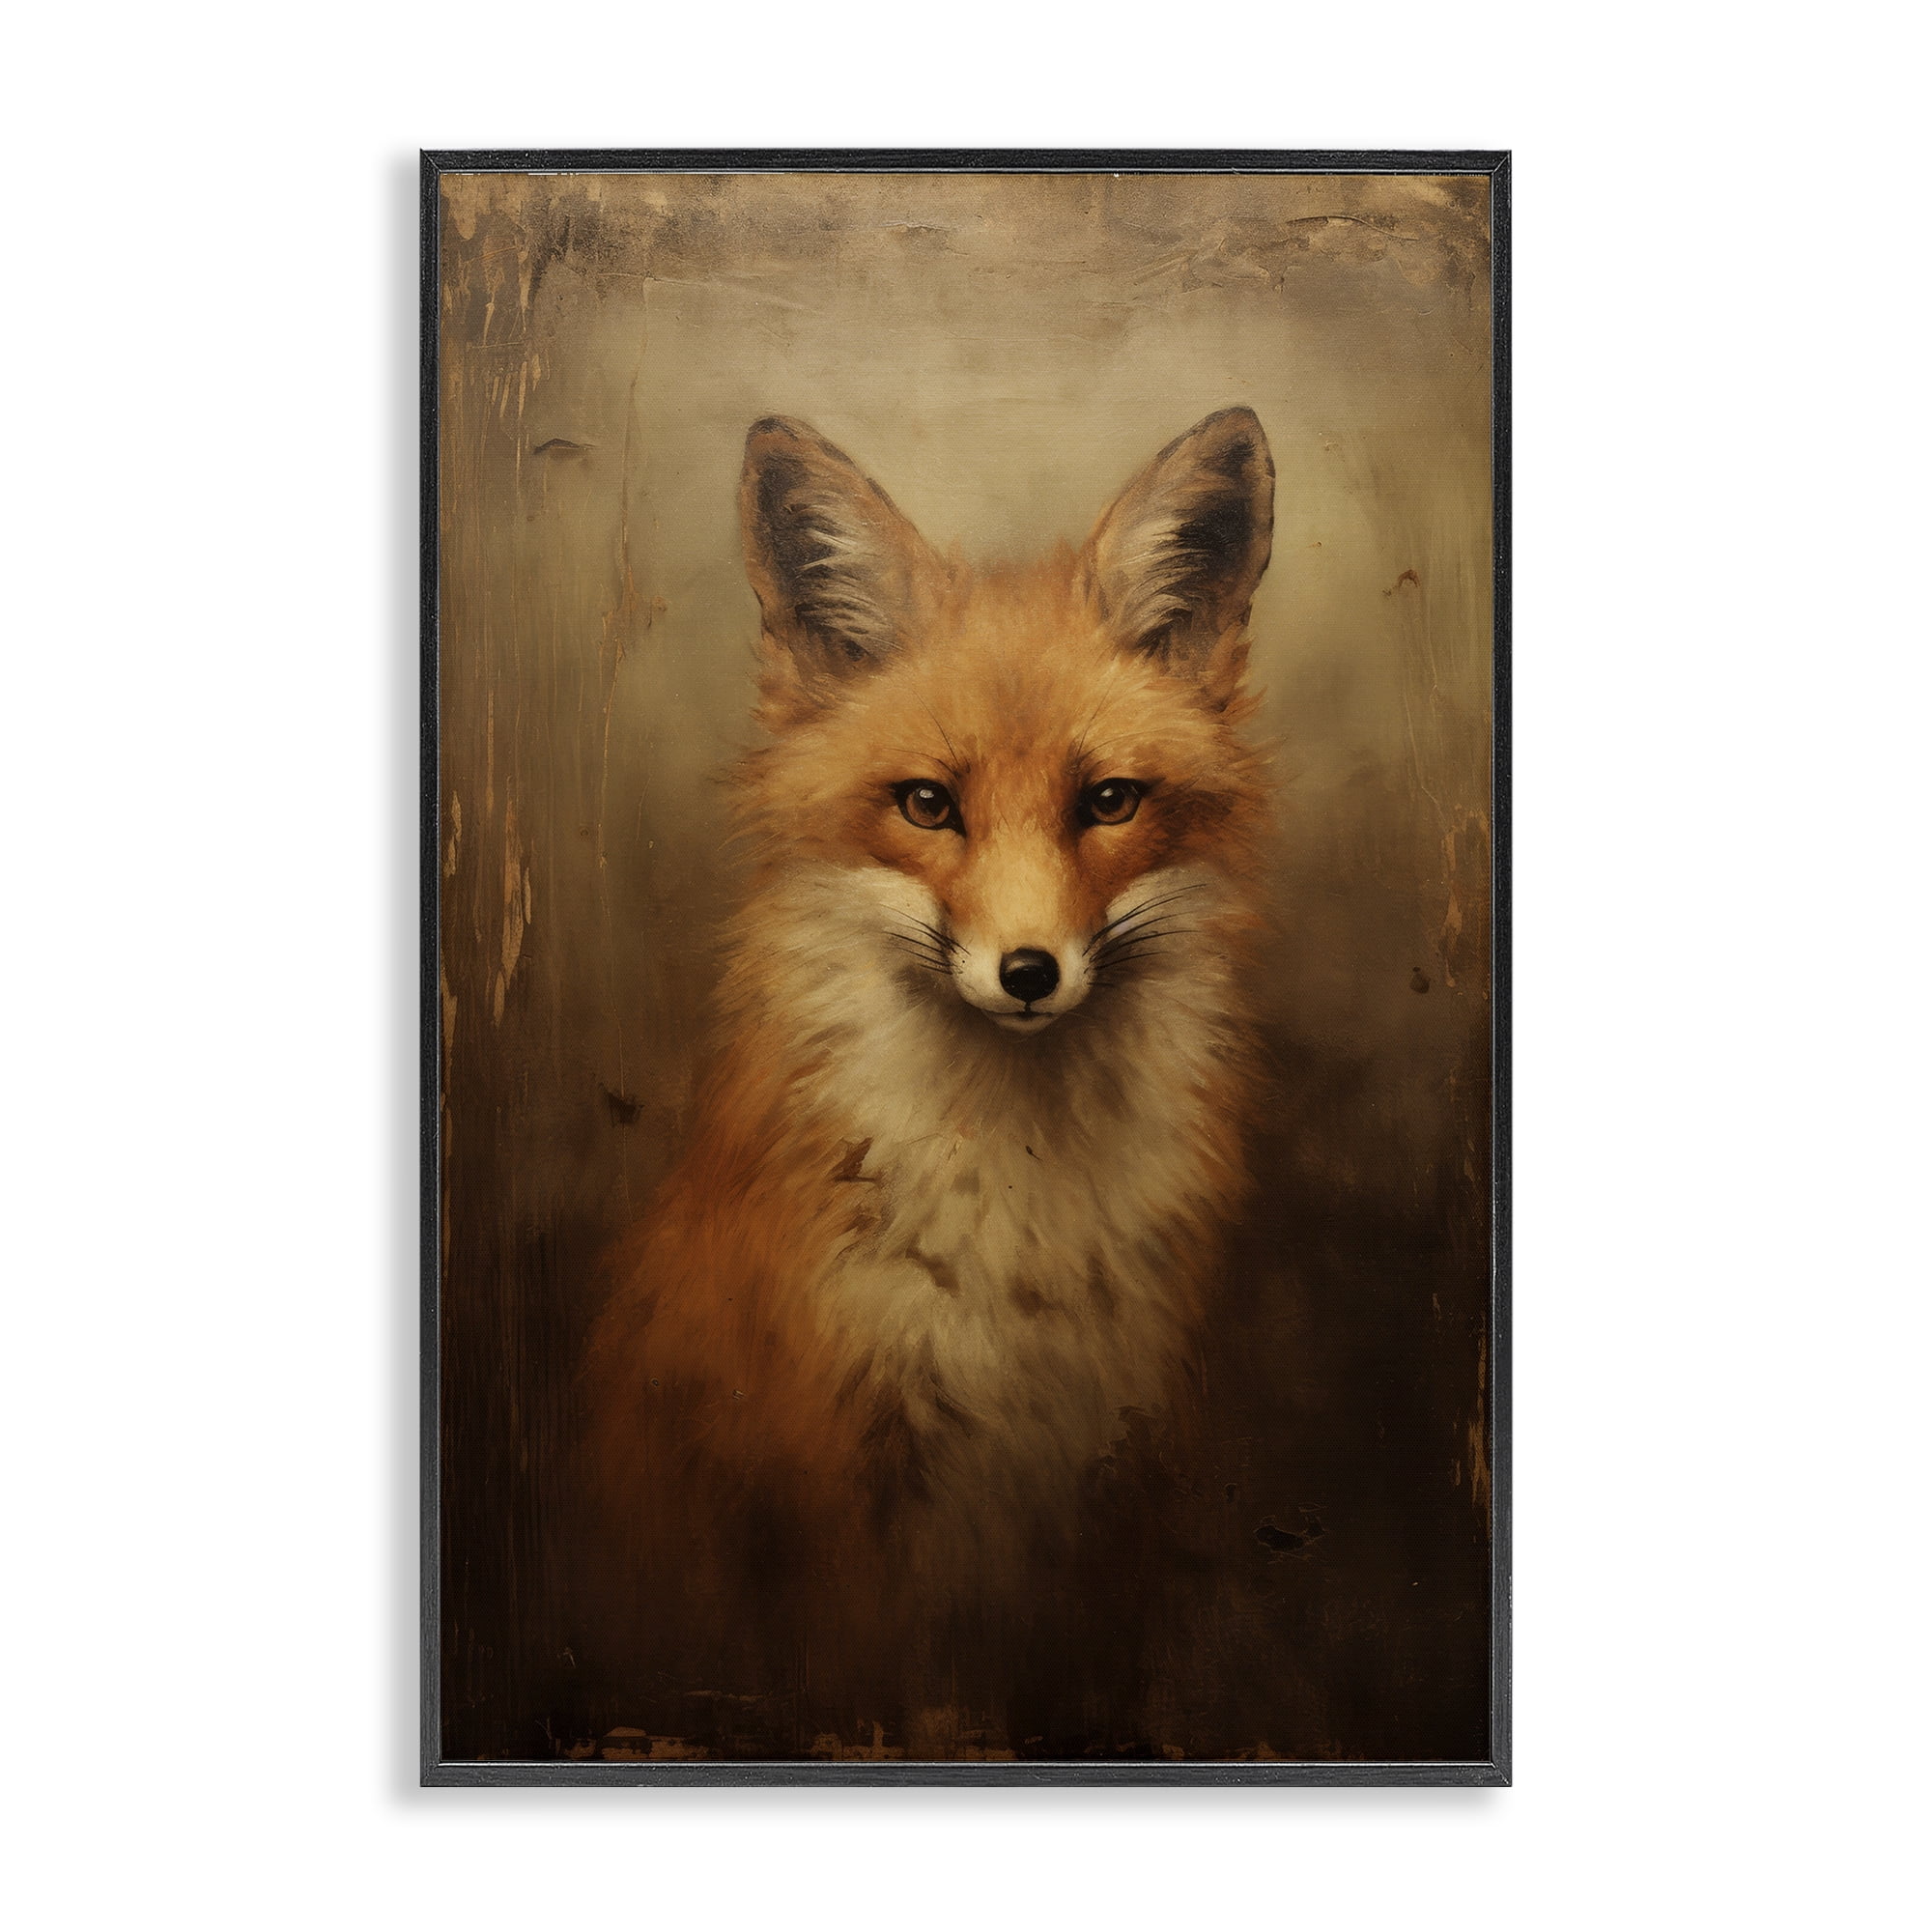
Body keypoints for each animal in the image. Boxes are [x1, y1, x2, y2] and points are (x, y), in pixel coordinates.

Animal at [581, 407, 1277, 1719]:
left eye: (1108, 800)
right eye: (925, 804)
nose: (1028, 971)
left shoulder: (1119, 1459)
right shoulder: (836, 1473)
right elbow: (884, 1694)